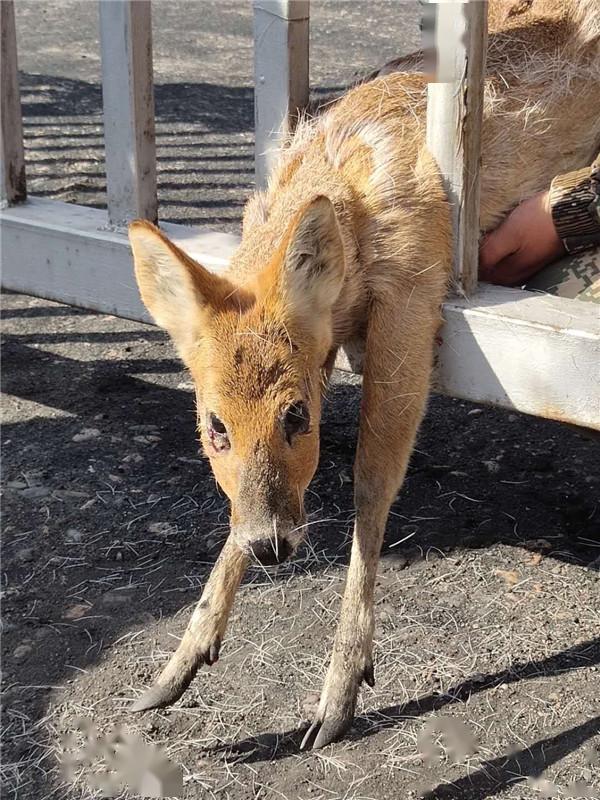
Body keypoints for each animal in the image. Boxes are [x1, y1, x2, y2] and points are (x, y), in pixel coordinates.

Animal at [127, 0, 600, 752]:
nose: (273, 547)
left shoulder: (413, 292)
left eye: (297, 415)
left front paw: (339, 694)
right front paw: (177, 665)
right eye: (213, 425)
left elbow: (372, 481)